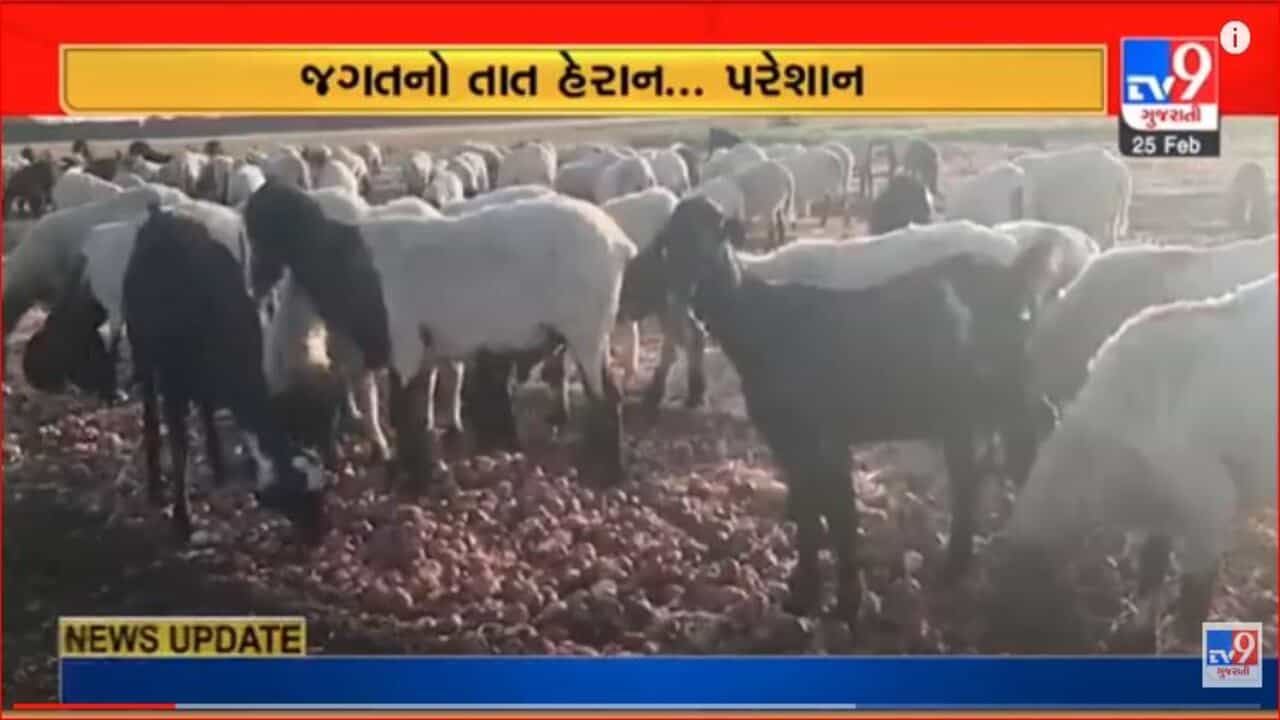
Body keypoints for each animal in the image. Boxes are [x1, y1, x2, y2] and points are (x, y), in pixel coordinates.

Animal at [123, 204, 327, 541]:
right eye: (299, 501)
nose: (320, 536)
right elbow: (180, 448)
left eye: (321, 494)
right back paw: (155, 484)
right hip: (142, 350)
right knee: (151, 411)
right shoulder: (173, 386)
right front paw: (182, 518)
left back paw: (217, 462)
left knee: (205, 407)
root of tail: (161, 215)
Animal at [242, 183, 634, 487]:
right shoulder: (423, 354)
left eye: (260, 231)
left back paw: (606, 470)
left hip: (586, 330)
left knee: (605, 397)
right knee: (606, 392)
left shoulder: (404, 347)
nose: (254, 286)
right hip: (591, 333)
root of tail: (617, 241)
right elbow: (419, 414)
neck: (344, 258)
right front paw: (425, 470)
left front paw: (414, 480)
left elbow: (405, 414)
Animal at [646, 196, 1060, 623]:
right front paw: (806, 594)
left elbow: (839, 513)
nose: (686, 291)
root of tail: (1014, 272)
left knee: (1028, 438)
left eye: (715, 237)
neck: (763, 322)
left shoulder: (824, 436)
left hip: (1008, 388)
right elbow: (810, 512)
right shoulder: (787, 440)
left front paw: (846, 600)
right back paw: (956, 565)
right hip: (962, 409)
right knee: (972, 474)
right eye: (671, 244)